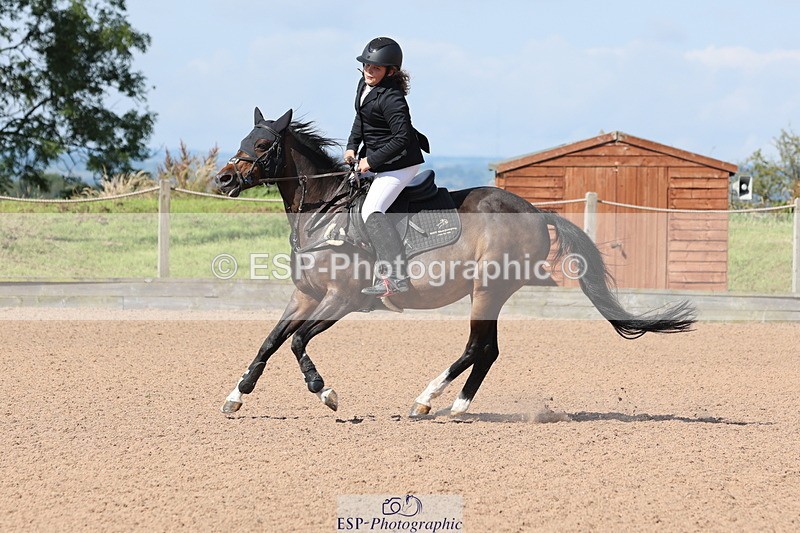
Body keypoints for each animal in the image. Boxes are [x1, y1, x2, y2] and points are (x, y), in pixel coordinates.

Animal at [214, 107, 696, 417]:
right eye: (242, 140)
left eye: (262, 144)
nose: (223, 178)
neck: (323, 212)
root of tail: (535, 211)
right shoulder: (305, 297)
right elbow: (270, 341)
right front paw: (237, 395)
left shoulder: (342, 299)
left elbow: (297, 342)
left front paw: (324, 391)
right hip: (489, 293)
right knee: (488, 350)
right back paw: (452, 404)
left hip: (487, 289)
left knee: (478, 347)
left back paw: (429, 400)